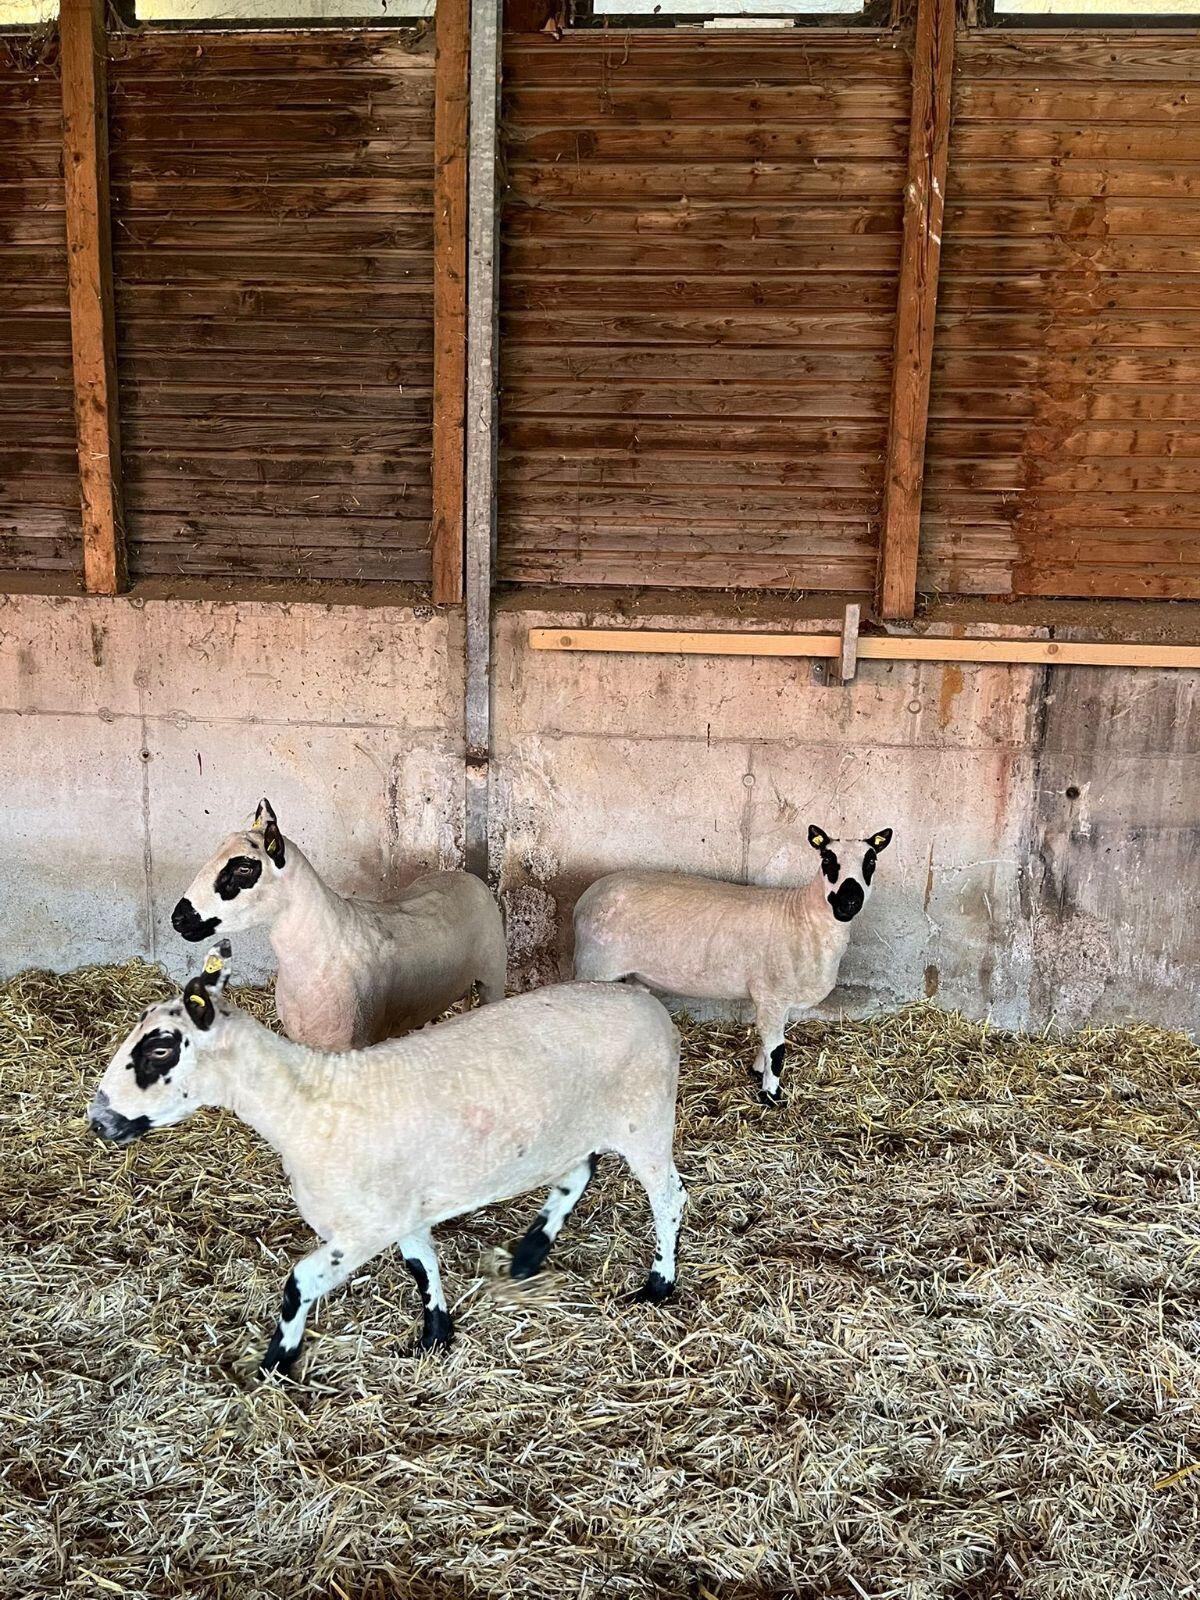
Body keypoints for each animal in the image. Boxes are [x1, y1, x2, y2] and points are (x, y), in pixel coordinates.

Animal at [87, 942, 687, 1379]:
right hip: (575, 1124)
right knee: (578, 1171)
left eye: (160, 1048)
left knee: (669, 1197)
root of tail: (646, 1002)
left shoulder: (366, 1227)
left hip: (646, 1118)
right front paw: (435, 1336)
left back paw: (658, 1286)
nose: (99, 1120)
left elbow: (299, 1283)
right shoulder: (401, 1212)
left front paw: (274, 1362)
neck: (303, 1105)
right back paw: (528, 1253)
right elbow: (422, 1265)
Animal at [573, 824, 894, 1107]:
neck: (803, 916)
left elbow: (769, 1042)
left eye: (871, 861)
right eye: (827, 859)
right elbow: (777, 1050)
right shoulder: (771, 995)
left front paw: (758, 1071)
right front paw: (771, 1096)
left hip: (632, 976)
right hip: (594, 968)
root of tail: (586, 898)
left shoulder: (778, 1000)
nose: (848, 902)